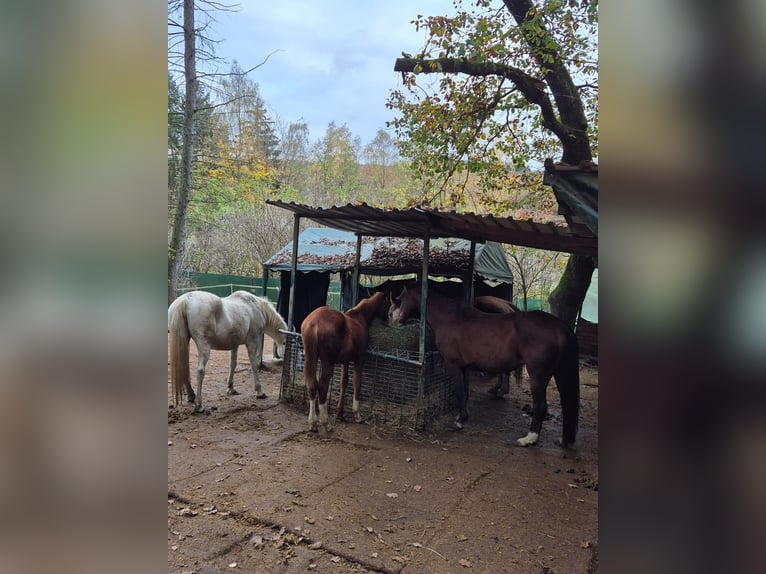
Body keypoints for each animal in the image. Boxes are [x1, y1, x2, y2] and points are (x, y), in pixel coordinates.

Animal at [300, 292, 390, 432]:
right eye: (387, 303)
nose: (389, 319)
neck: (359, 317)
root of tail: (314, 322)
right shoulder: (359, 359)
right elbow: (357, 382)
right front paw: (357, 414)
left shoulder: (345, 361)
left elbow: (344, 382)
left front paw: (339, 413)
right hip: (327, 362)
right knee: (322, 386)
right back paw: (326, 423)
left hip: (310, 358)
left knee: (312, 386)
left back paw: (313, 423)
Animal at [390, 284, 584, 450]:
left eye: (401, 298)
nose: (396, 319)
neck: (450, 318)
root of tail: (559, 326)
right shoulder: (464, 367)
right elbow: (464, 392)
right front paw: (463, 416)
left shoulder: (453, 365)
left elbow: (459, 391)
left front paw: (460, 421)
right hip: (559, 373)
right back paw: (563, 439)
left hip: (538, 376)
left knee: (540, 406)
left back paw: (529, 439)